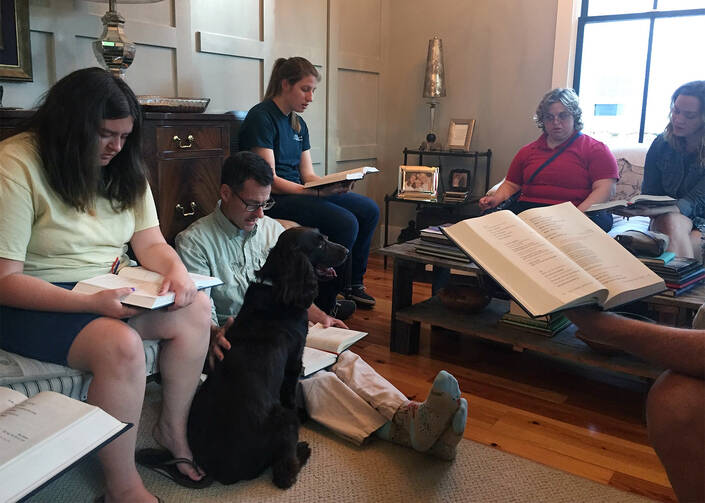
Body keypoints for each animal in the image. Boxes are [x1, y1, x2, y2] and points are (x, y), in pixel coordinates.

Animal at [188, 227, 348, 488]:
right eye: (320, 244)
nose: (346, 250)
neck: (278, 286)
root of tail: (218, 471)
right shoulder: (294, 361)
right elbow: (290, 395)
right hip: (284, 421)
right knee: (284, 474)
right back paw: (302, 450)